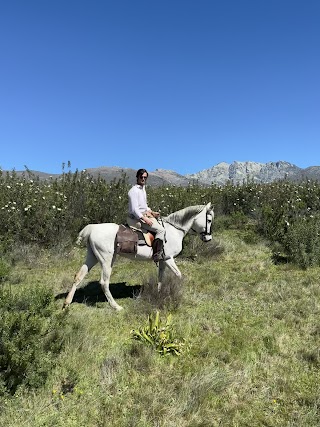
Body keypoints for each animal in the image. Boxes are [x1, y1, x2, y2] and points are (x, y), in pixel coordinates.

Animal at [63, 204, 214, 310]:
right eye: (209, 219)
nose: (208, 238)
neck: (173, 230)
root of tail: (91, 229)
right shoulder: (168, 259)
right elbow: (179, 275)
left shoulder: (162, 261)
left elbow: (160, 277)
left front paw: (158, 293)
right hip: (106, 260)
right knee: (104, 282)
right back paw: (116, 306)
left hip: (92, 257)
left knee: (78, 277)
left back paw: (66, 304)